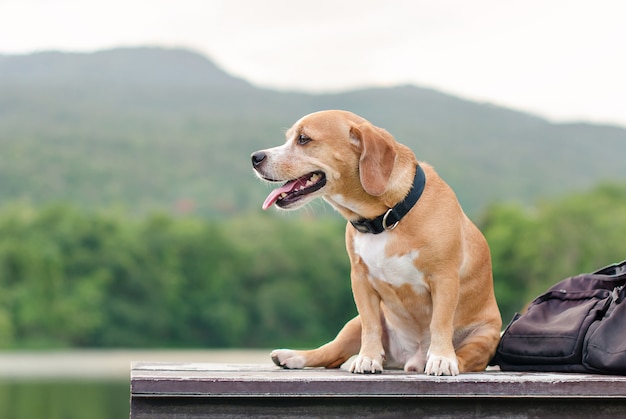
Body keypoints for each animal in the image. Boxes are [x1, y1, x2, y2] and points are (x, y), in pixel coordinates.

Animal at [251, 110, 500, 376]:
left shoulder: (444, 278)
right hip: (353, 324)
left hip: (484, 336)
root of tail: (410, 358)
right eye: (289, 138)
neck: (385, 217)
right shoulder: (360, 280)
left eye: (303, 139)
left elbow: (440, 322)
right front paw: (368, 358)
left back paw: (441, 360)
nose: (255, 157)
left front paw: (442, 358)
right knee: (330, 353)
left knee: (464, 359)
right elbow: (371, 326)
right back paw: (292, 356)